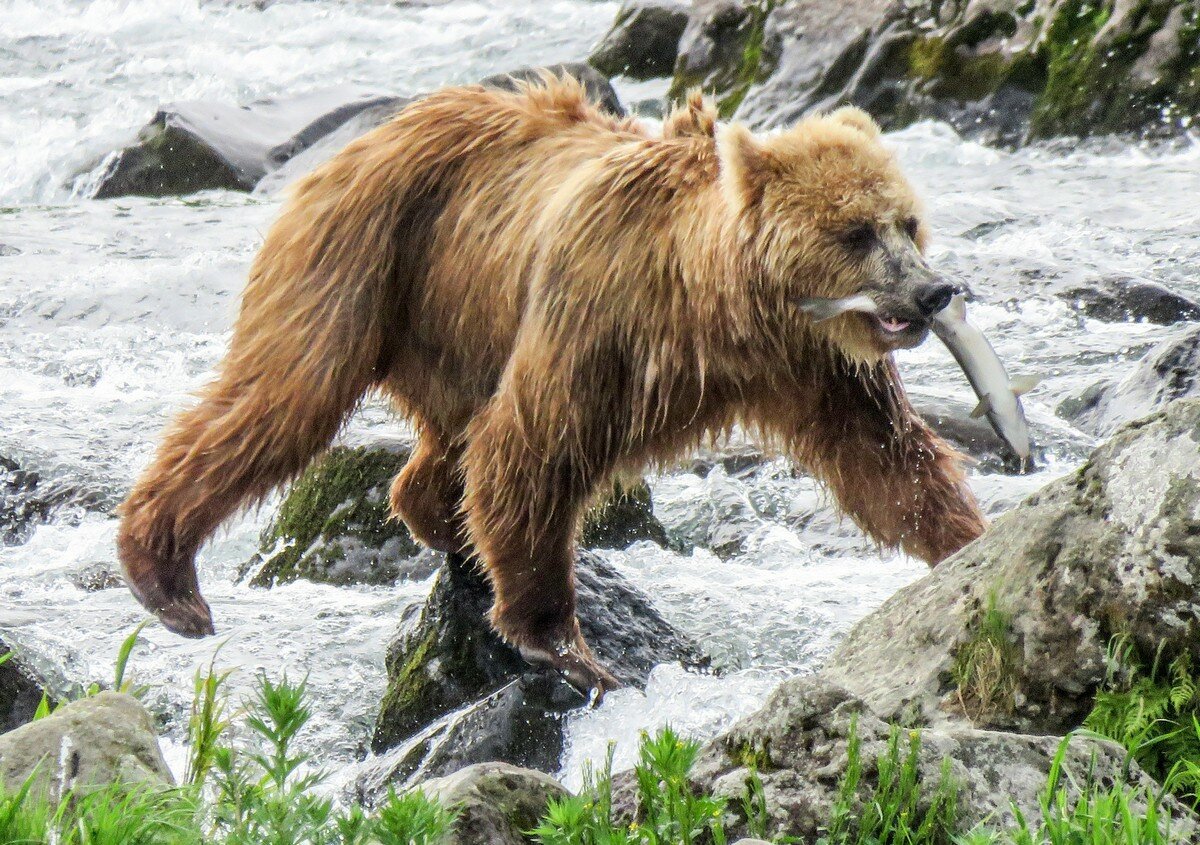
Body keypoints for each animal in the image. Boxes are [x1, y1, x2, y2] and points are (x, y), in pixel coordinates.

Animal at [119, 70, 984, 691]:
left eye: (908, 222)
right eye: (857, 232)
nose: (932, 291)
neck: (719, 305)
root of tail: (374, 132)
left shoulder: (816, 365)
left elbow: (884, 459)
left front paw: (966, 544)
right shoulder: (600, 318)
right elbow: (532, 446)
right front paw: (565, 644)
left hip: (454, 319)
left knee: (443, 446)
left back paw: (439, 520)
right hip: (367, 255)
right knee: (284, 394)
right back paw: (167, 578)